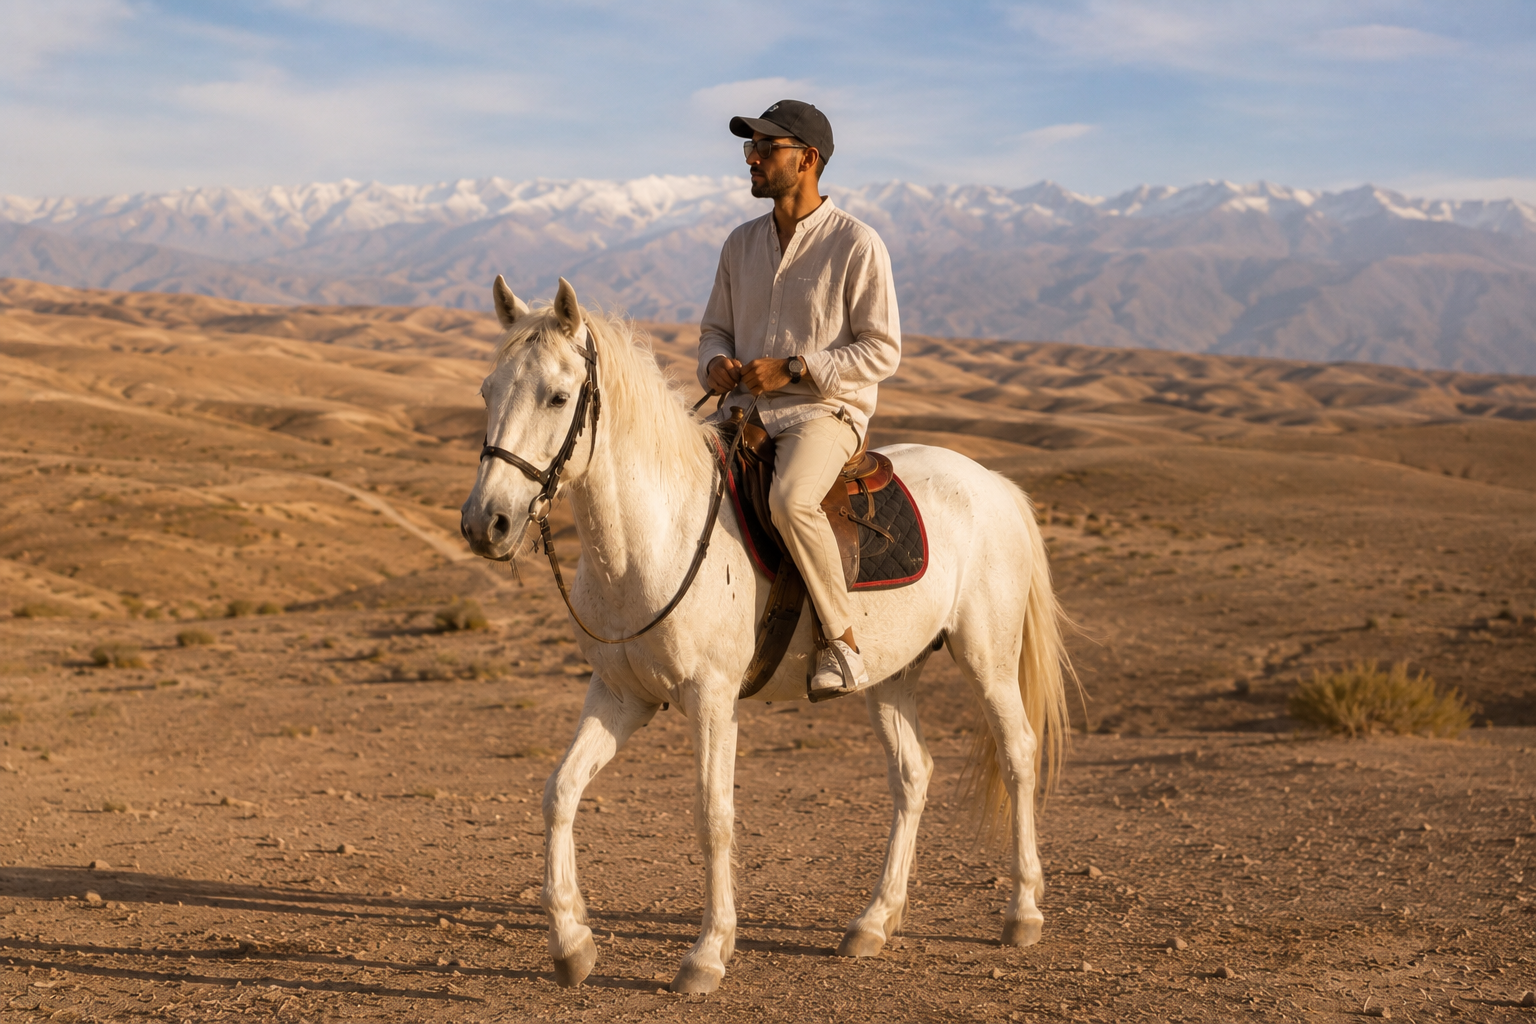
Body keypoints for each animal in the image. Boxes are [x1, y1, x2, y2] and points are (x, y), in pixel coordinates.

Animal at [459, 275, 1071, 994]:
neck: (654, 536)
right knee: (912, 775)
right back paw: (873, 921)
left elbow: (713, 817)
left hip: (988, 659)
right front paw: (572, 943)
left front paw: (706, 954)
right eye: (487, 391)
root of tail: (996, 484)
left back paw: (1022, 912)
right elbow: (559, 794)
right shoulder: (620, 695)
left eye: (557, 396)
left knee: (1019, 755)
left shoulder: (712, 700)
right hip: (892, 676)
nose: (486, 524)